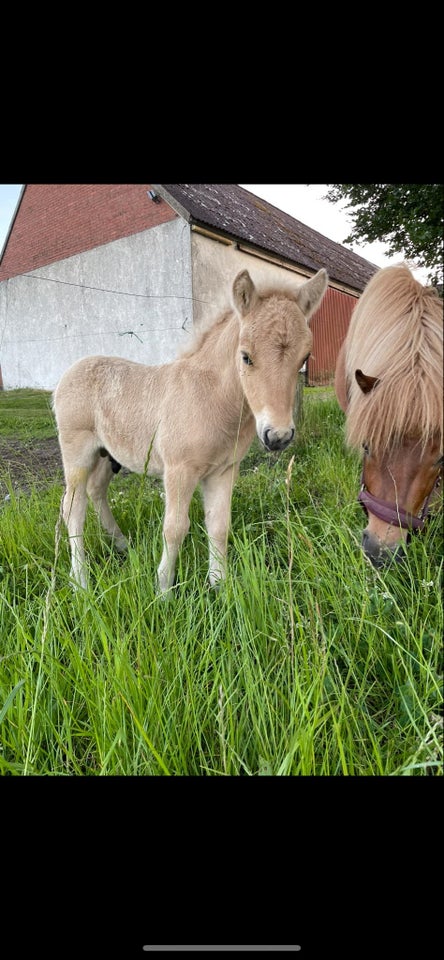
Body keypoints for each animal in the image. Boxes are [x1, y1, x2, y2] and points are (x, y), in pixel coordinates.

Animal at [53, 266, 328, 588]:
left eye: (304, 358)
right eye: (246, 356)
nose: (279, 436)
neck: (210, 397)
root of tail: (68, 374)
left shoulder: (224, 470)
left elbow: (219, 525)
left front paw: (220, 585)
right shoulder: (179, 470)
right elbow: (174, 528)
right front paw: (163, 589)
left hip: (108, 454)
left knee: (96, 491)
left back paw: (122, 545)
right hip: (77, 452)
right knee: (73, 508)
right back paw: (80, 580)